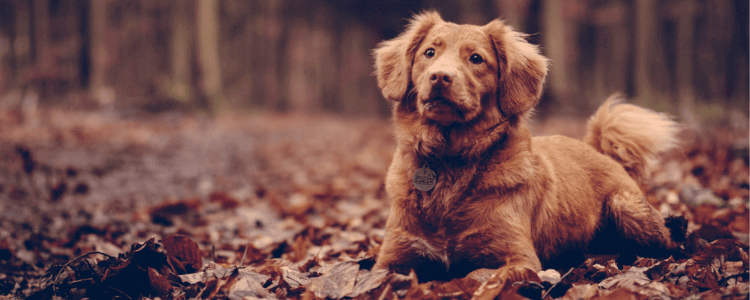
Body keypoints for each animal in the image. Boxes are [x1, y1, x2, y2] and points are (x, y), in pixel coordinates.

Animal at [374, 12, 684, 284]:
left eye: (476, 59)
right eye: (429, 53)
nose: (439, 76)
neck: (450, 159)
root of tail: (597, 150)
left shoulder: (519, 258)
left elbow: (475, 276)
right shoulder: (392, 256)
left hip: (626, 206)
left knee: (669, 243)